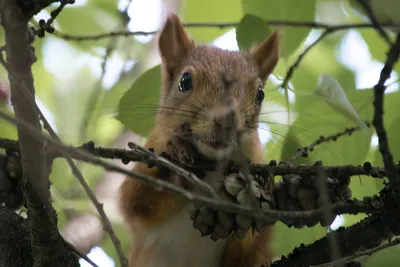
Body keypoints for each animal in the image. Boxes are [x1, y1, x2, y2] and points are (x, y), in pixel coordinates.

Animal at [120, 13, 280, 267]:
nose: (227, 118)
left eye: (260, 93)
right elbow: (137, 200)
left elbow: (250, 250)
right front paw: (178, 162)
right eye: (184, 82)